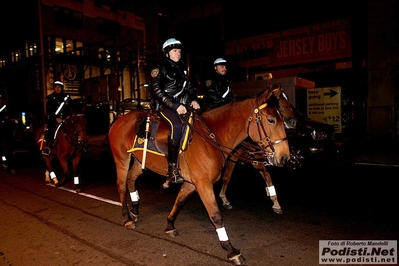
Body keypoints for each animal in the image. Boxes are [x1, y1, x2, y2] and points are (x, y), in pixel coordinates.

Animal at [108, 88, 290, 266]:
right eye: (271, 120)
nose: (285, 157)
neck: (212, 137)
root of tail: (118, 120)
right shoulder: (203, 184)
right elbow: (216, 215)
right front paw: (231, 250)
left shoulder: (192, 183)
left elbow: (180, 201)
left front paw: (169, 225)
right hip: (122, 159)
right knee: (121, 185)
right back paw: (127, 217)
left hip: (140, 161)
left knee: (131, 179)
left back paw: (135, 210)